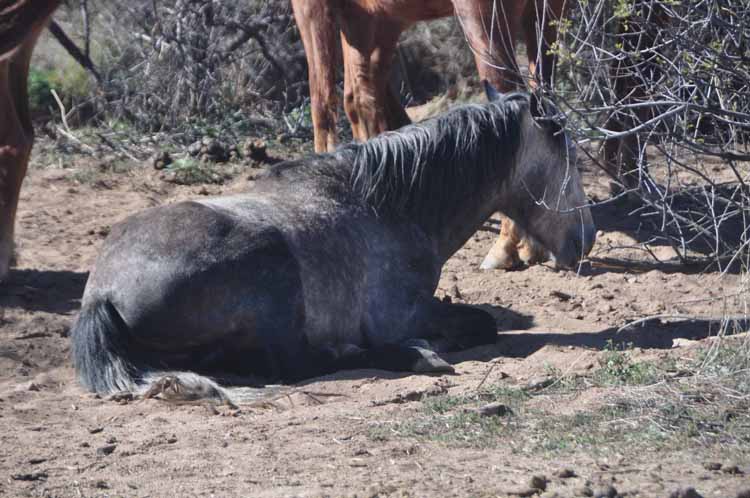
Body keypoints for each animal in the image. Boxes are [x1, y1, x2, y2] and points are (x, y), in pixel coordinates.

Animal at [290, 0, 568, 268]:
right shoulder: (373, 21)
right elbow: (365, 101)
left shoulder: (317, 9)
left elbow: (325, 103)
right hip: (543, 17)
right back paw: (534, 244)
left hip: (485, 22)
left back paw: (507, 245)